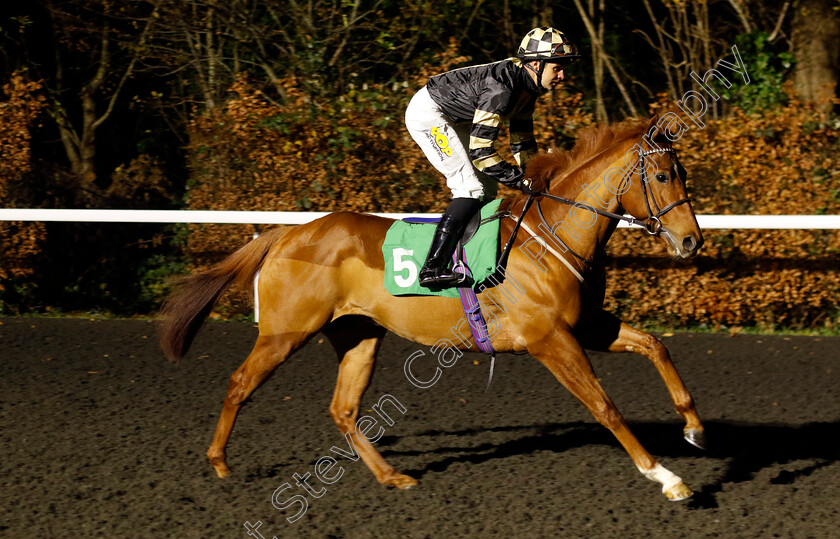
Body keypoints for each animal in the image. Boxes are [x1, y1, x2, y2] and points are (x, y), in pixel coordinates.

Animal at [161, 117, 704, 502]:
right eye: (661, 175)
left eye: (682, 174)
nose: (691, 241)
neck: (551, 237)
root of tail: (287, 233)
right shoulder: (550, 339)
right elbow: (604, 405)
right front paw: (664, 476)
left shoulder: (588, 325)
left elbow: (655, 346)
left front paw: (693, 427)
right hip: (285, 331)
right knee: (240, 383)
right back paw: (219, 461)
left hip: (358, 334)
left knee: (343, 408)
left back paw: (391, 476)